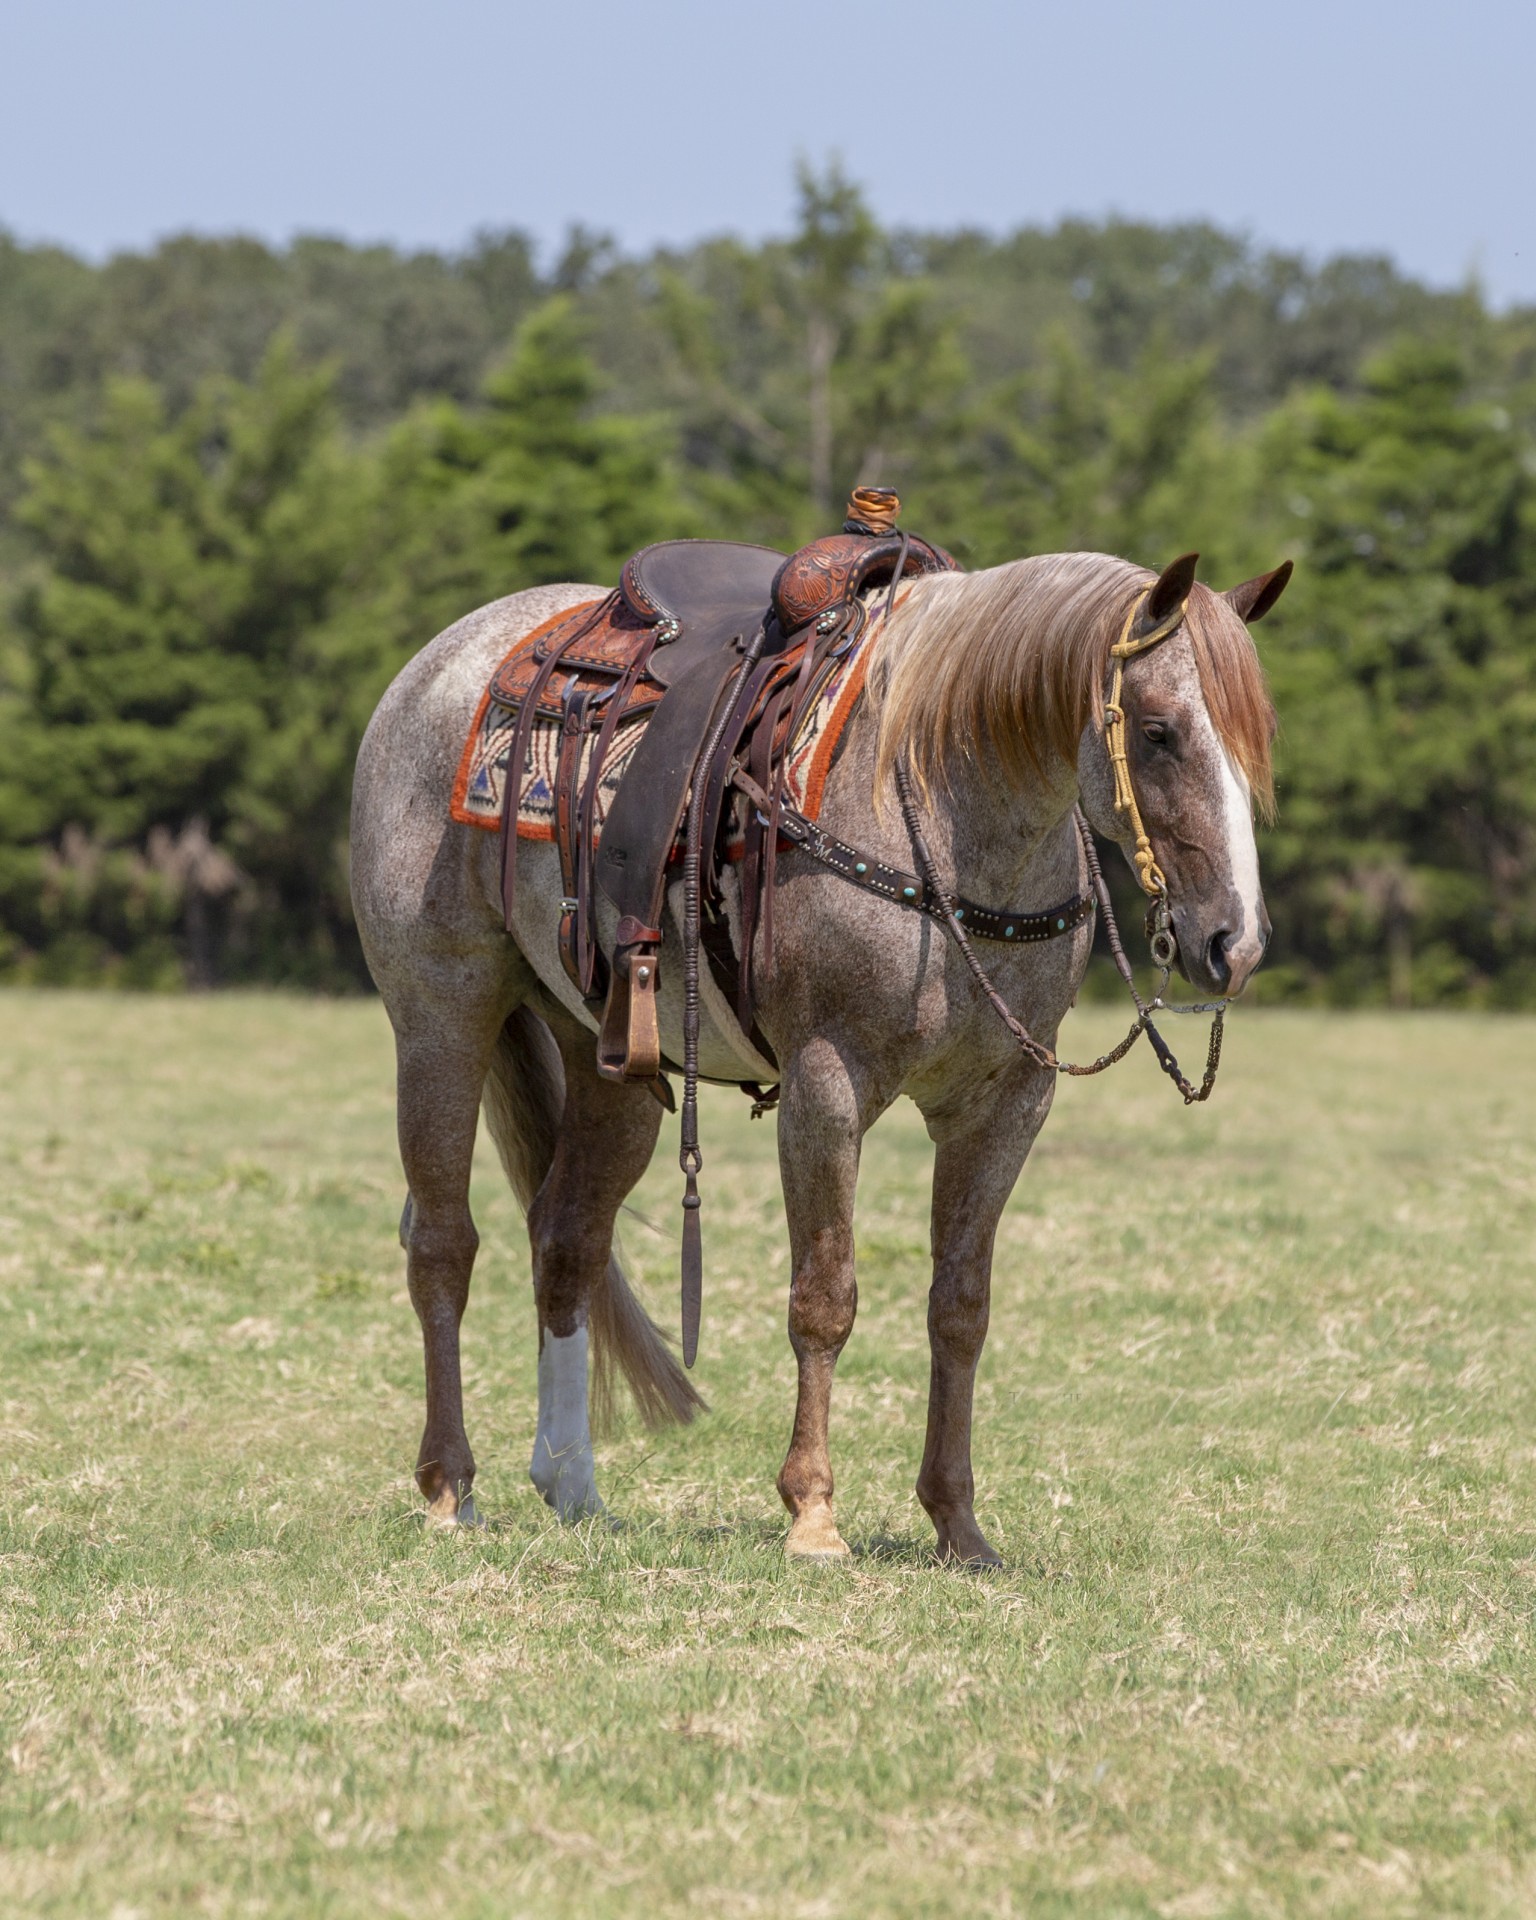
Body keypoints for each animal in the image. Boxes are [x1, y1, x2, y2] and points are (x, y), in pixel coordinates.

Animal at [351, 541, 1282, 1559]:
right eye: (1158, 732)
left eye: (1256, 741)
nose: (1234, 943)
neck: (944, 813)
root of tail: (437, 664)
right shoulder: (825, 1086)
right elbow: (825, 1297)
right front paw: (812, 1513)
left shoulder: (1006, 1102)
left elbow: (961, 1307)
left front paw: (958, 1524)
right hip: (441, 1016)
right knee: (442, 1241)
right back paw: (450, 1486)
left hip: (609, 1060)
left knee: (566, 1239)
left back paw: (573, 1483)